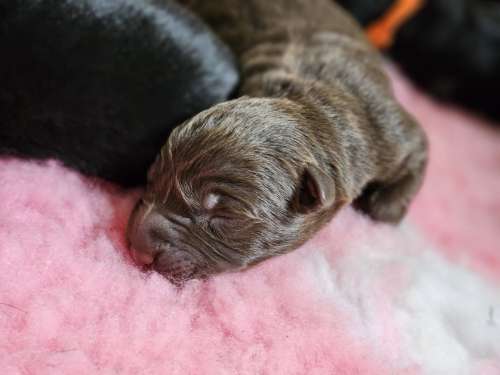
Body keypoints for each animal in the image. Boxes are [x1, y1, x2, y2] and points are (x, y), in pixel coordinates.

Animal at [127, 0, 428, 282]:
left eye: (224, 216)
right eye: (152, 177)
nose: (137, 248)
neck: (314, 105)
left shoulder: (389, 130)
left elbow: (414, 158)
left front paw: (382, 204)